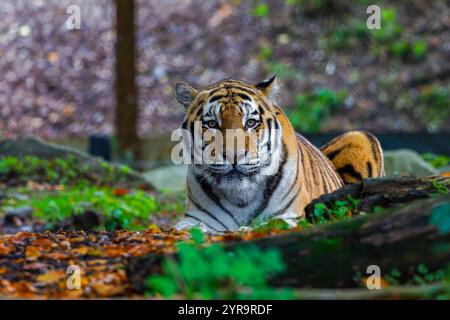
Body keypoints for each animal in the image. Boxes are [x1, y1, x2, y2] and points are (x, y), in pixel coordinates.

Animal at [172, 77, 384, 232]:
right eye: (212, 124)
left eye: (250, 122)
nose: (234, 156)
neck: (240, 197)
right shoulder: (193, 219)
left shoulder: (293, 215)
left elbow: (268, 225)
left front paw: (243, 230)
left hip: (360, 136)